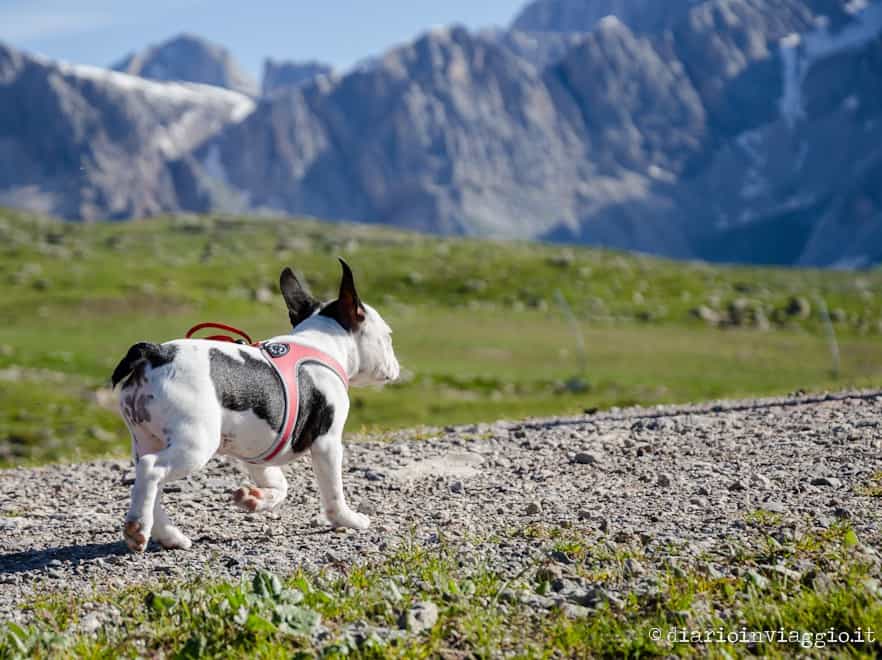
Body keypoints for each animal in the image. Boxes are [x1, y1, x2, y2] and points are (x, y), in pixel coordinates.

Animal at [111, 258, 400, 552]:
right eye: (388, 337)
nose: (395, 363)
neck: (323, 345)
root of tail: (156, 353)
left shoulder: (261, 452)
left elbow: (280, 485)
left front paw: (255, 498)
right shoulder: (327, 442)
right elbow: (333, 490)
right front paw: (348, 519)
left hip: (147, 438)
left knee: (150, 482)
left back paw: (168, 535)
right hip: (196, 443)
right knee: (152, 469)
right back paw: (138, 529)